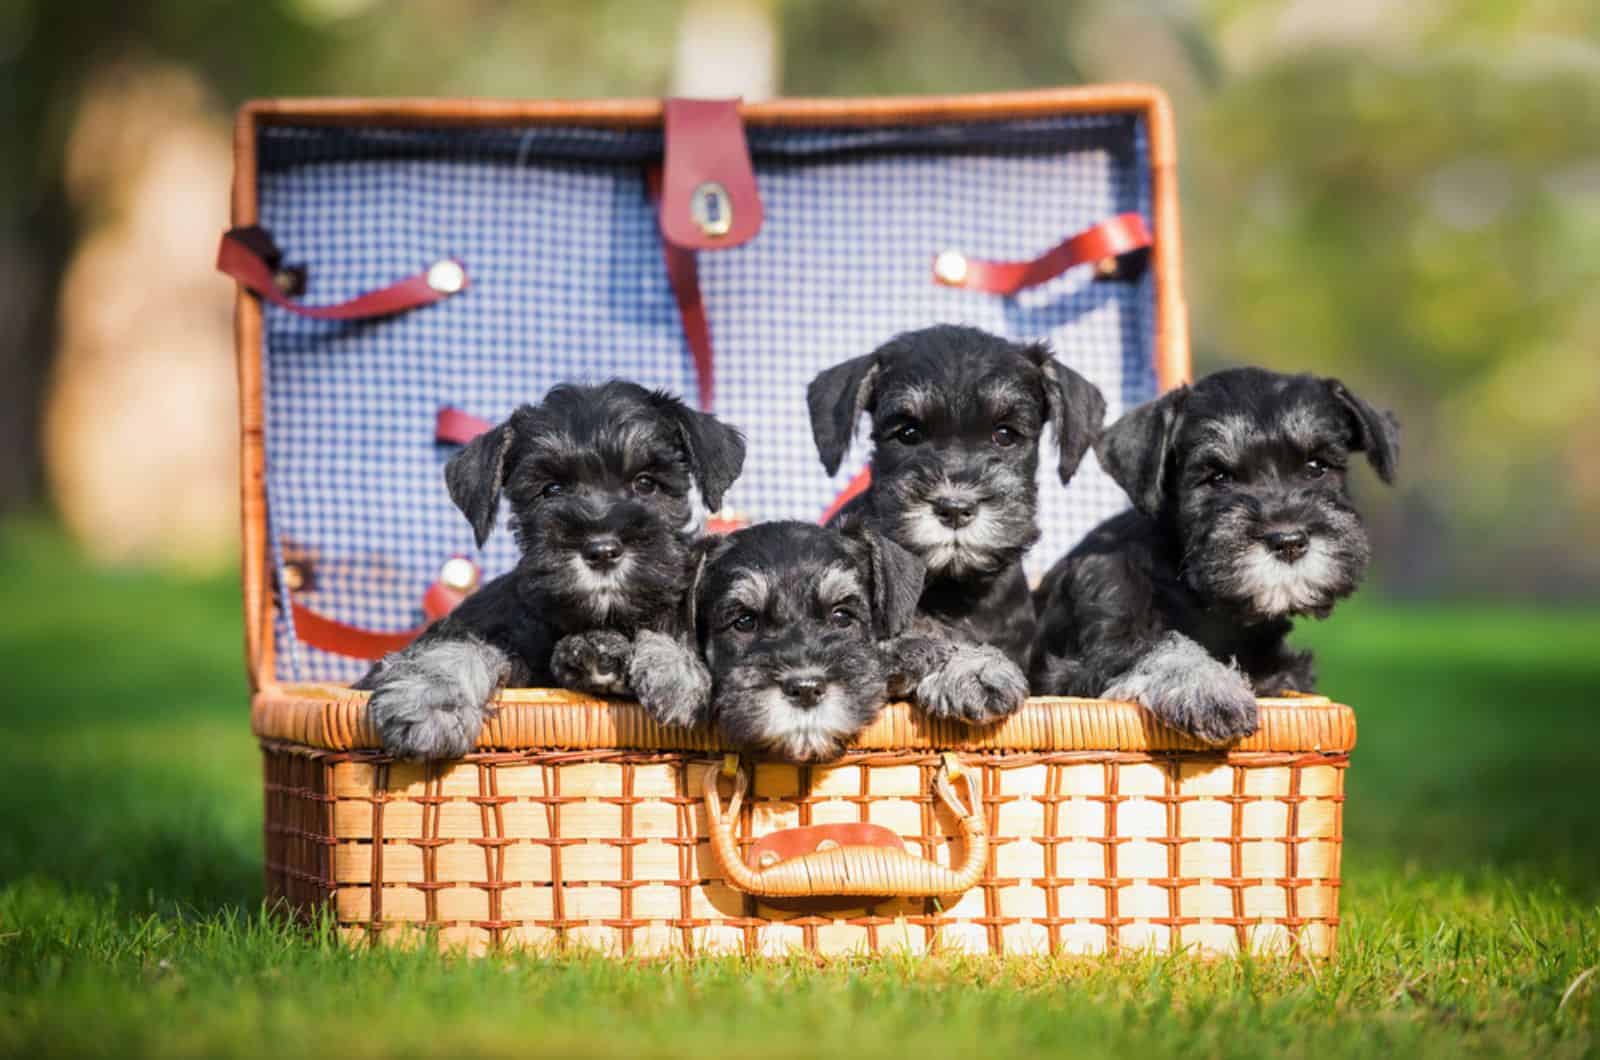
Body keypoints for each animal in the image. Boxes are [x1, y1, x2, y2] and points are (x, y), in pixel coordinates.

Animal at [356, 382, 742, 765]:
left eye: (646, 483)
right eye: (551, 490)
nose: (602, 550)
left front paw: (677, 671)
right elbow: (457, 645)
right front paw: (429, 701)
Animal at [1030, 373, 1395, 746]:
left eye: (1317, 467)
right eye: (1217, 477)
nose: (1289, 541)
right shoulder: (1092, 658)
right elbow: (1161, 647)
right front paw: (1210, 690)